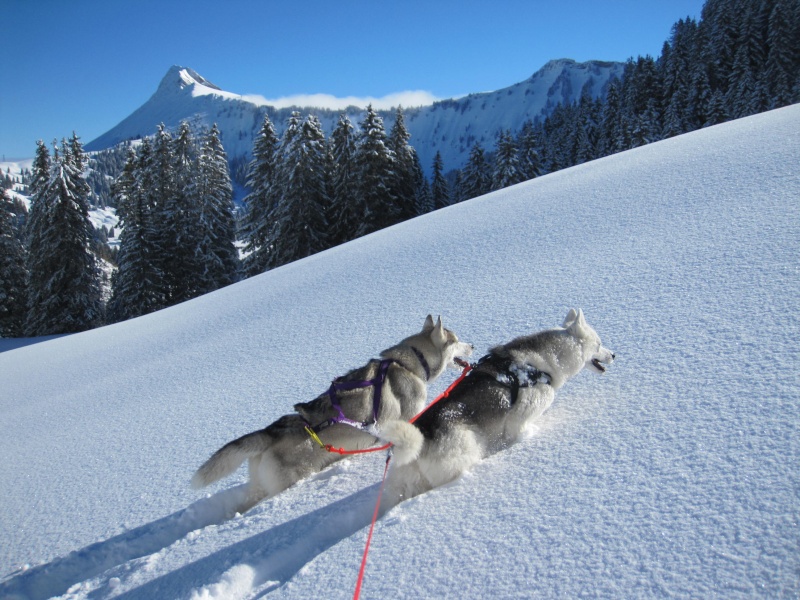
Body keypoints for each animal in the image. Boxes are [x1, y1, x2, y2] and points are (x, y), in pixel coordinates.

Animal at [191, 314, 472, 510]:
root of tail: (271, 431)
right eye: (456, 340)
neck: (408, 364)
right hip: (291, 480)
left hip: (261, 485)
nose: (472, 345)